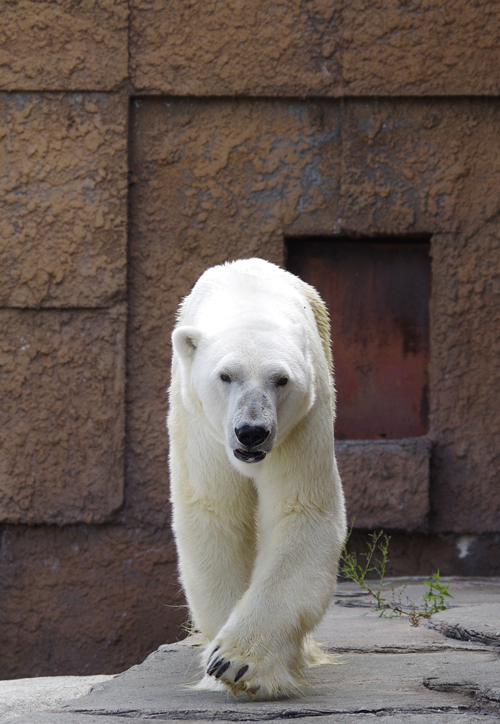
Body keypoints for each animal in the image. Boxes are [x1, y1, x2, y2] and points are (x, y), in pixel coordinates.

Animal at [166, 258, 346, 696]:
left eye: (281, 379)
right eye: (224, 375)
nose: (252, 431)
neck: (248, 303)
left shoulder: (301, 423)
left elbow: (300, 512)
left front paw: (236, 662)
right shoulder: (201, 428)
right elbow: (216, 514)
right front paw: (217, 662)